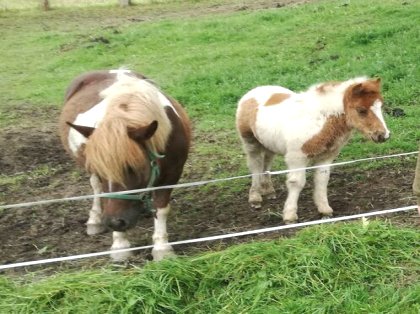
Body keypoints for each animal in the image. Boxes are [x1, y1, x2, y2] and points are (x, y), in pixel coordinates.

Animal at [59, 70, 190, 262]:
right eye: (102, 170)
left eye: (133, 168)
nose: (115, 222)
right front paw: (120, 245)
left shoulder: (172, 174)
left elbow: (161, 209)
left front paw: (162, 248)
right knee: (96, 188)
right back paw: (95, 220)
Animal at [236, 76, 390, 223]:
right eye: (361, 110)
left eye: (381, 106)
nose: (383, 135)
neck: (320, 120)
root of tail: (253, 92)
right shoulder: (297, 158)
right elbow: (296, 183)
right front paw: (290, 216)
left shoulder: (326, 157)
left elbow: (322, 180)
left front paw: (325, 210)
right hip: (250, 142)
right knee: (255, 166)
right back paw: (255, 198)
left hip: (268, 144)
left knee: (267, 163)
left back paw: (269, 191)